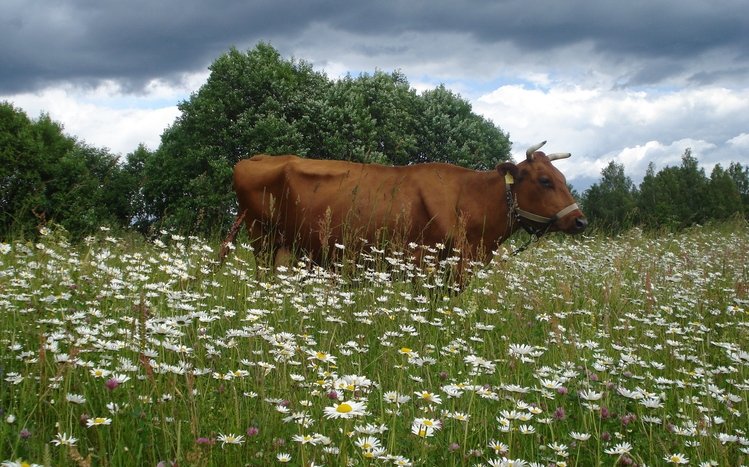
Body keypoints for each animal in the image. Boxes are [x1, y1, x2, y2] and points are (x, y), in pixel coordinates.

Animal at [221, 141, 586, 278]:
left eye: (562, 177)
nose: (579, 220)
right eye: (544, 180)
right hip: (263, 240)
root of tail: (256, 158)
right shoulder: (425, 263)